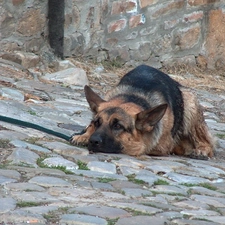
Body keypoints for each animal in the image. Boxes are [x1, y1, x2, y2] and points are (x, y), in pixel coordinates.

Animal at [71, 64, 214, 157]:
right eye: (97, 123)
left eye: (117, 126)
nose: (93, 141)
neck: (132, 97)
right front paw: (84, 135)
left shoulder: (161, 147)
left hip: (190, 103)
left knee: (208, 143)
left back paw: (201, 149)